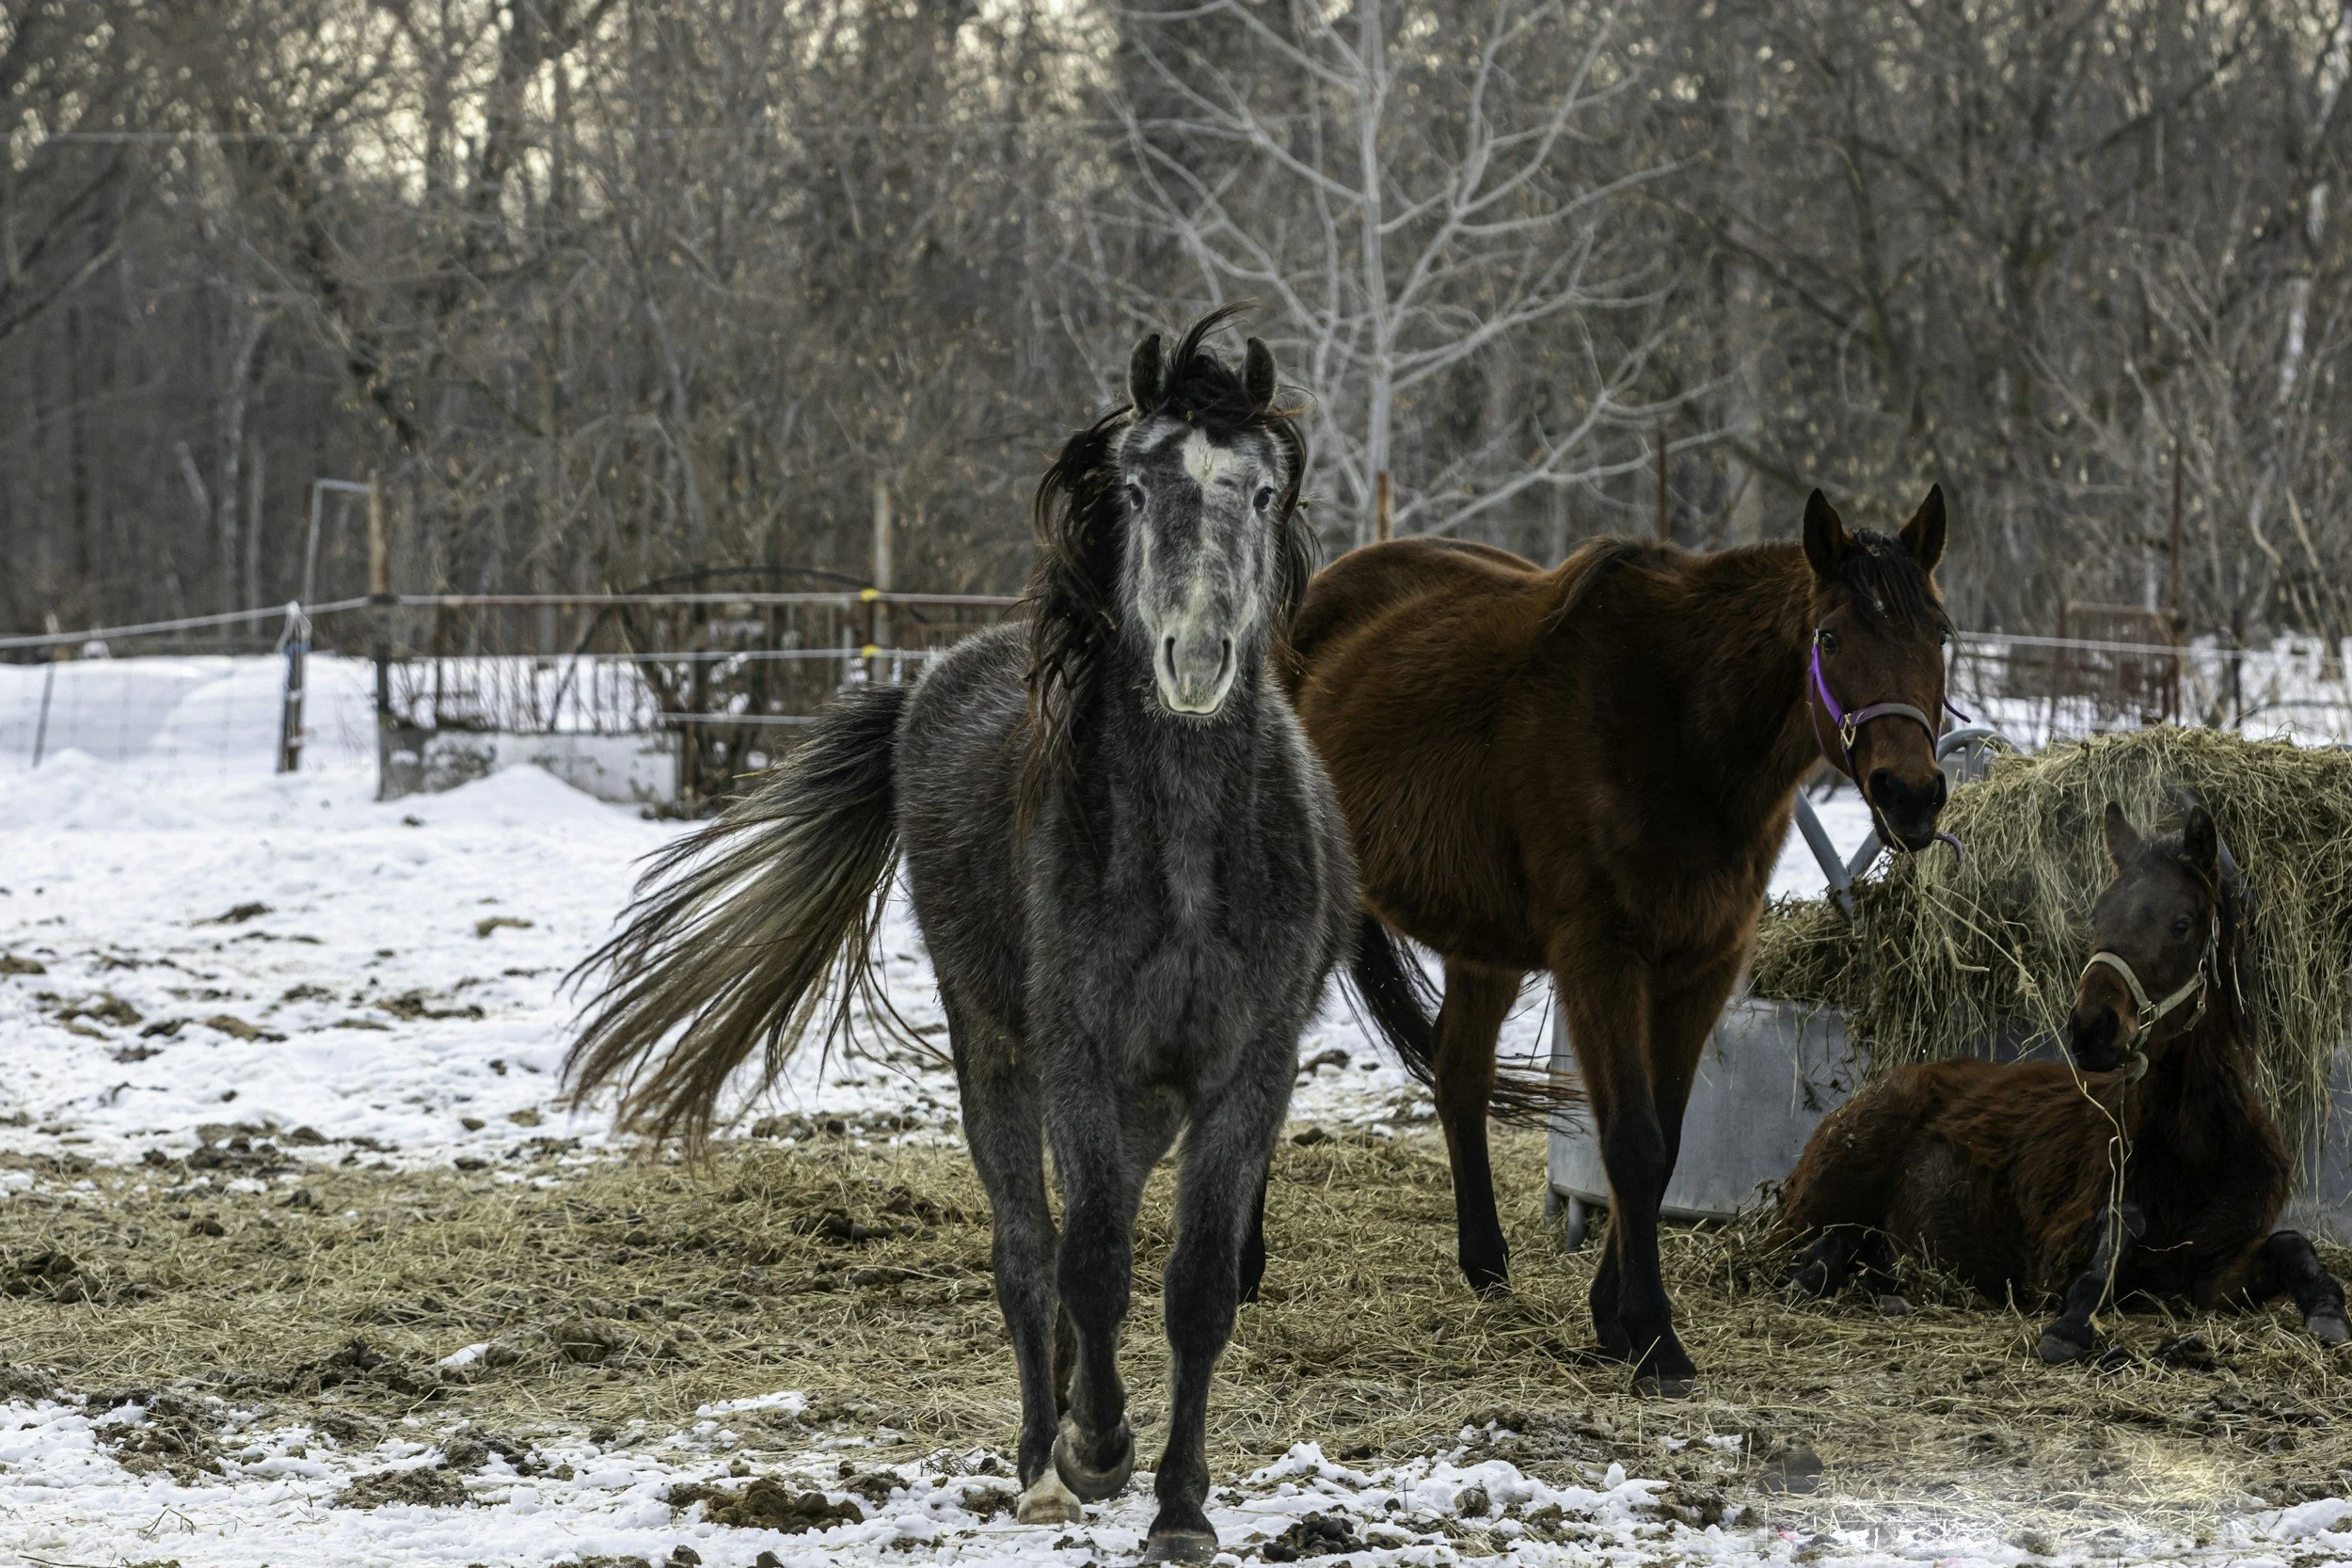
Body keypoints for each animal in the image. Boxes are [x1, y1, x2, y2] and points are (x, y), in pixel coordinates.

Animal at [563, 311, 1357, 1563]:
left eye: (1266, 491)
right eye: (1136, 486)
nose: (1195, 657)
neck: (1187, 859)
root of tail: (928, 680)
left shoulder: (1250, 1067)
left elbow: (1194, 1287)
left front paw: (1180, 1505)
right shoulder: (1075, 1050)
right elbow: (1088, 1260)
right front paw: (1096, 1449)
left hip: (1148, 1097)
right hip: (993, 1048)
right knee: (1031, 1252)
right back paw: (1045, 1459)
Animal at [1285, 488, 1957, 1394]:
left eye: (1940, 633)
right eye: (1831, 637)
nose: (1911, 796)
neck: (1677, 725)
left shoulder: (1702, 964)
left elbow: (1664, 1144)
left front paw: (1614, 1319)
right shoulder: (1601, 958)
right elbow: (1632, 1141)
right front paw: (1653, 1337)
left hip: (1484, 944)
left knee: (1459, 1073)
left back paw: (1487, 1267)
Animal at [1778, 797, 2349, 1360]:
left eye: (2183, 924)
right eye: (2098, 915)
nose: (2092, 1028)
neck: (2196, 1148)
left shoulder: (2213, 1275)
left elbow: (2292, 1244)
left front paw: (2328, 1312)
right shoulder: (2052, 1259)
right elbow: (2118, 1231)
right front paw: (2072, 1324)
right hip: (1824, 1198)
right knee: (1828, 1238)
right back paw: (1813, 1277)